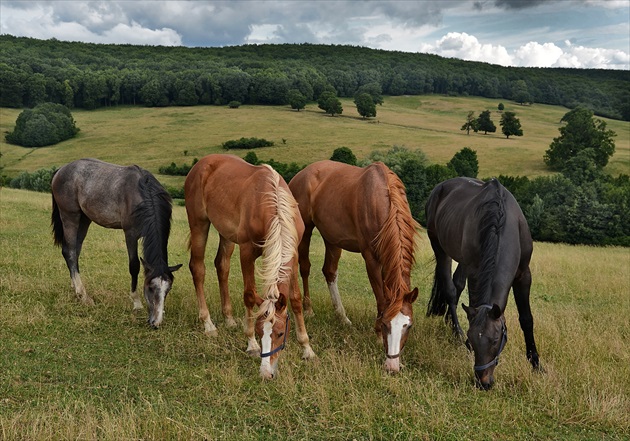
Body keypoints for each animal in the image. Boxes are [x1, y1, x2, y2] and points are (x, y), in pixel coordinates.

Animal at [51, 158, 183, 326]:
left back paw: (74, 286)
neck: (142, 195)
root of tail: (61, 170)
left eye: (168, 289)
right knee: (70, 252)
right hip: (70, 216)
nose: (156, 322)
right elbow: (134, 266)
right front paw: (136, 302)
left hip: (84, 219)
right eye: (150, 287)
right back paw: (83, 295)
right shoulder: (130, 234)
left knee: (75, 250)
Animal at [185, 153, 318, 376]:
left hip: (226, 235)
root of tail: (202, 164)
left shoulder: (292, 256)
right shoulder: (246, 252)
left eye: (280, 333)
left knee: (222, 266)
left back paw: (229, 318)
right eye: (258, 330)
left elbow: (296, 299)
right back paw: (208, 324)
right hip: (199, 224)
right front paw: (251, 344)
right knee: (198, 269)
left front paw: (307, 348)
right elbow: (249, 294)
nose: (266, 372)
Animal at [290, 160, 420, 370]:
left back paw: (342, 316)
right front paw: (377, 335)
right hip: (306, 230)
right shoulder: (371, 259)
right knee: (305, 268)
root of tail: (302, 173)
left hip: (332, 239)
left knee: (330, 272)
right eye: (386, 324)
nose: (392, 366)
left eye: (408, 325)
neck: (381, 200)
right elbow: (381, 298)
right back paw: (308, 309)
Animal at [424, 175, 544, 388]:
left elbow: (526, 319)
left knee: (456, 285)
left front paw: (536, 364)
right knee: (450, 290)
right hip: (440, 248)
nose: (483, 382)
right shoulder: (475, 272)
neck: (501, 222)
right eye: (473, 339)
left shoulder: (523, 274)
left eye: (496, 340)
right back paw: (456, 332)